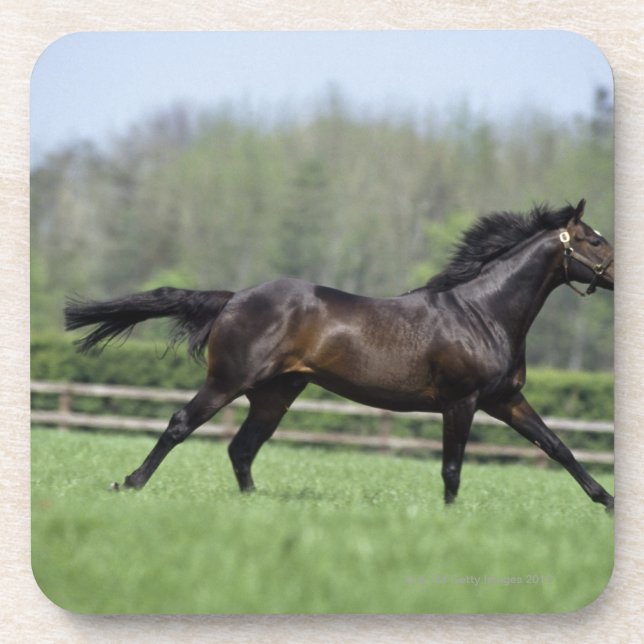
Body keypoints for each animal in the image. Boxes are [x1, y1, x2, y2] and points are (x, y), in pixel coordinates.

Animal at [64, 199, 615, 510]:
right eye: (592, 239)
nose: (618, 270)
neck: (483, 314)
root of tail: (235, 297)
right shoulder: (462, 402)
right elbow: (452, 468)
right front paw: (449, 519)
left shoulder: (505, 400)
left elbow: (558, 447)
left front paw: (606, 500)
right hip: (228, 382)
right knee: (182, 425)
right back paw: (129, 484)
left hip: (276, 393)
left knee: (242, 447)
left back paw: (257, 506)